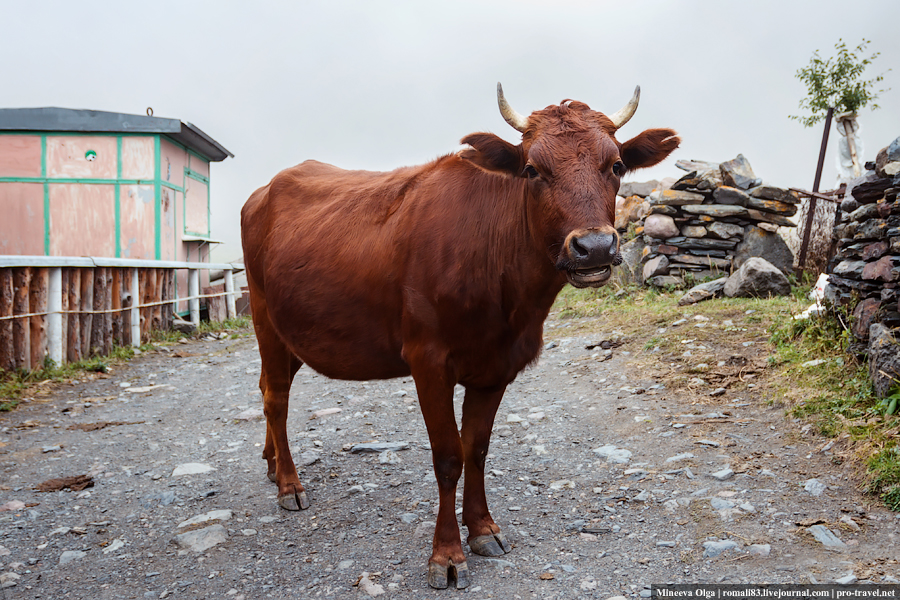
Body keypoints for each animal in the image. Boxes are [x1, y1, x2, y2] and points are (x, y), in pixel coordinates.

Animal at [239, 85, 676, 592]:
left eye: (617, 165)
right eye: (532, 169)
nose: (595, 247)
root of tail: (267, 187)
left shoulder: (497, 366)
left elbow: (476, 450)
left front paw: (483, 527)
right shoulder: (428, 361)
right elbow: (448, 456)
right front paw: (447, 554)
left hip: (295, 332)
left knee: (267, 388)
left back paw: (272, 465)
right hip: (263, 316)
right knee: (276, 398)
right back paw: (290, 483)